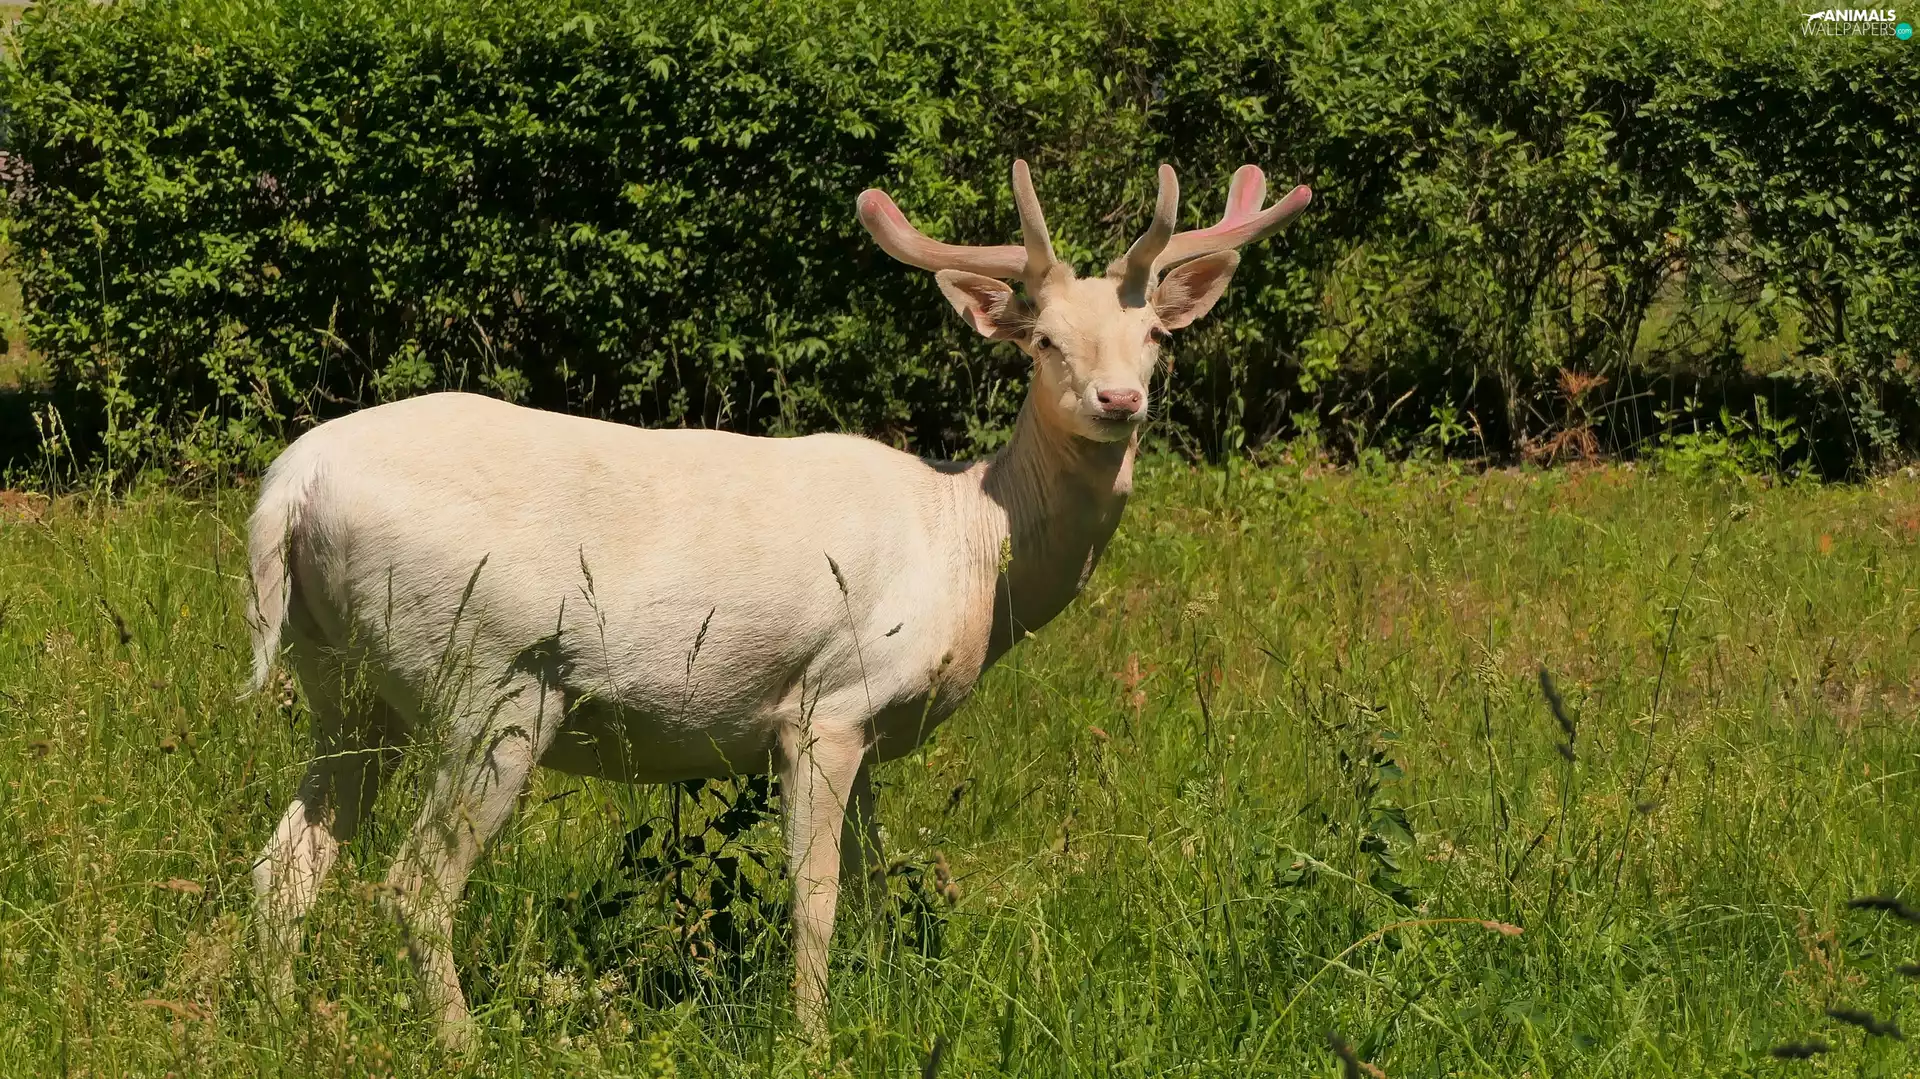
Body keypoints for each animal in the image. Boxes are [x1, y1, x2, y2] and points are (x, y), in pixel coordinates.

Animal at [245, 158, 1310, 1047]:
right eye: (1046, 341)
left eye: (1156, 338)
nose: (1119, 400)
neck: (970, 544)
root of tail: (287, 488)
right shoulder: (825, 703)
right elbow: (816, 895)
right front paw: (811, 1037)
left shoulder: (876, 726)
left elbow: (877, 888)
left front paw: (887, 1004)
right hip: (491, 679)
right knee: (412, 884)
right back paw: (463, 1044)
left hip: (347, 683)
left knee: (285, 865)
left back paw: (274, 1018)